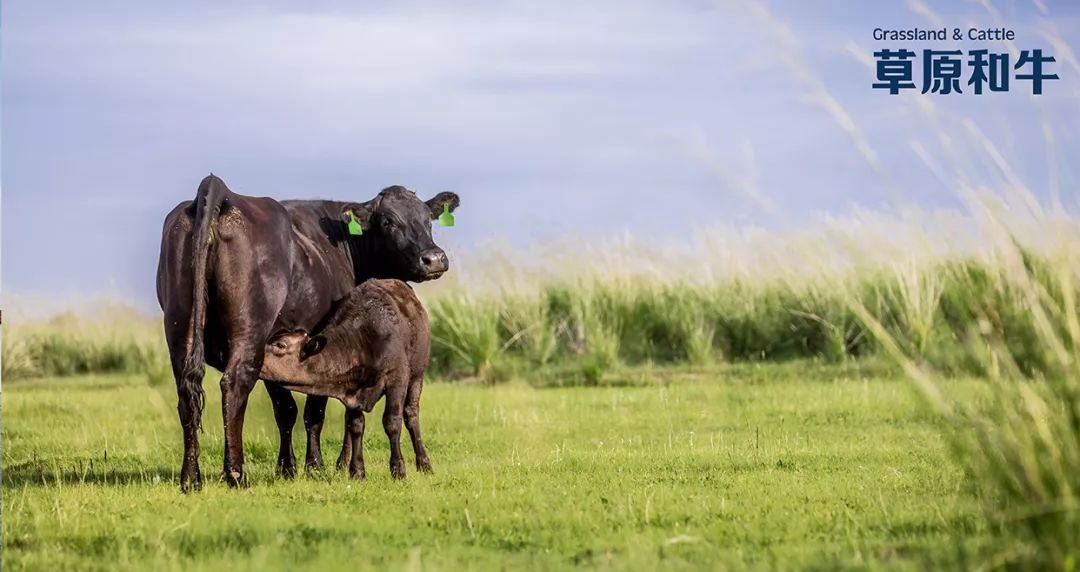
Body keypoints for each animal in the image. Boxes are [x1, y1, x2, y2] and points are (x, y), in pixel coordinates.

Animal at [260, 276, 429, 477]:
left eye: (280, 345)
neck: (360, 343)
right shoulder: (352, 390)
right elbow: (356, 425)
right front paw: (357, 470)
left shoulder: (397, 379)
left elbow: (392, 421)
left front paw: (398, 469)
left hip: (417, 376)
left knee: (411, 413)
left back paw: (424, 463)